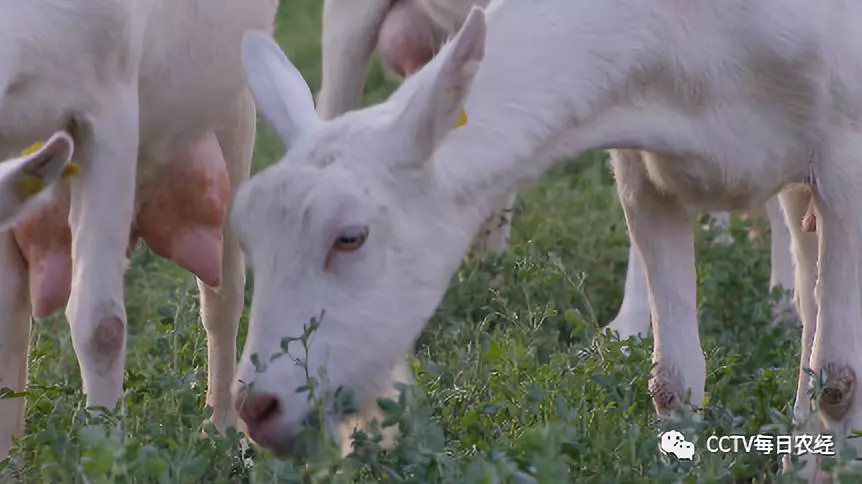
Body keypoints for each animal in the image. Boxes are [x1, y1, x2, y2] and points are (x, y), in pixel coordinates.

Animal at [0, 0, 278, 458]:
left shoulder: (108, 109)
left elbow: (100, 325)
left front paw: (104, 454)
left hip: (233, 110)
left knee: (225, 293)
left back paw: (222, 433)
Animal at [233, 0, 852, 476]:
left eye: (351, 237)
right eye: (247, 240)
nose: (256, 408)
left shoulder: (843, 157)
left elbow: (839, 383)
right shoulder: (648, 171)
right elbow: (673, 381)